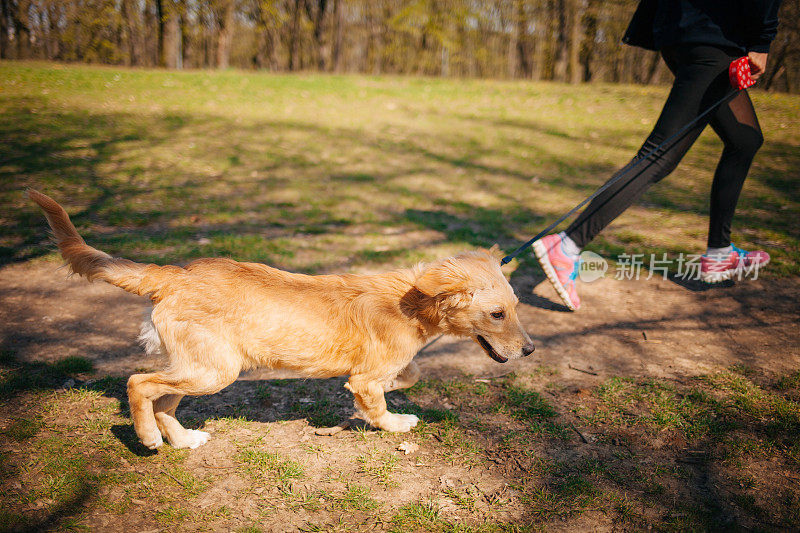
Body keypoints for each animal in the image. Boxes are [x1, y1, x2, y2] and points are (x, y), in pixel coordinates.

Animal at [28, 189, 536, 446]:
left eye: (516, 306)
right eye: (497, 313)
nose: (531, 349)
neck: (413, 301)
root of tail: (174, 274)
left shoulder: (379, 369)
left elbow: (406, 375)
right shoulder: (366, 376)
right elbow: (378, 404)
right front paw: (394, 422)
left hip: (200, 366)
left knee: (163, 398)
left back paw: (182, 439)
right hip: (215, 370)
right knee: (138, 384)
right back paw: (149, 436)